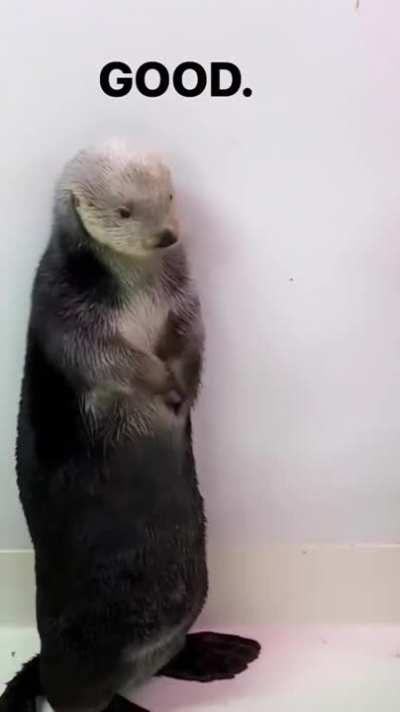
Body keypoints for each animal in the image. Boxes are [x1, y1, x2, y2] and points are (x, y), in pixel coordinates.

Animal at [0, 140, 260, 712]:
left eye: (169, 197)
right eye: (123, 211)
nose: (165, 235)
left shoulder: (184, 295)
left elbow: (191, 334)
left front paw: (184, 385)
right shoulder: (63, 305)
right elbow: (110, 358)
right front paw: (166, 388)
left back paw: (217, 653)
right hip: (81, 648)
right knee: (75, 698)